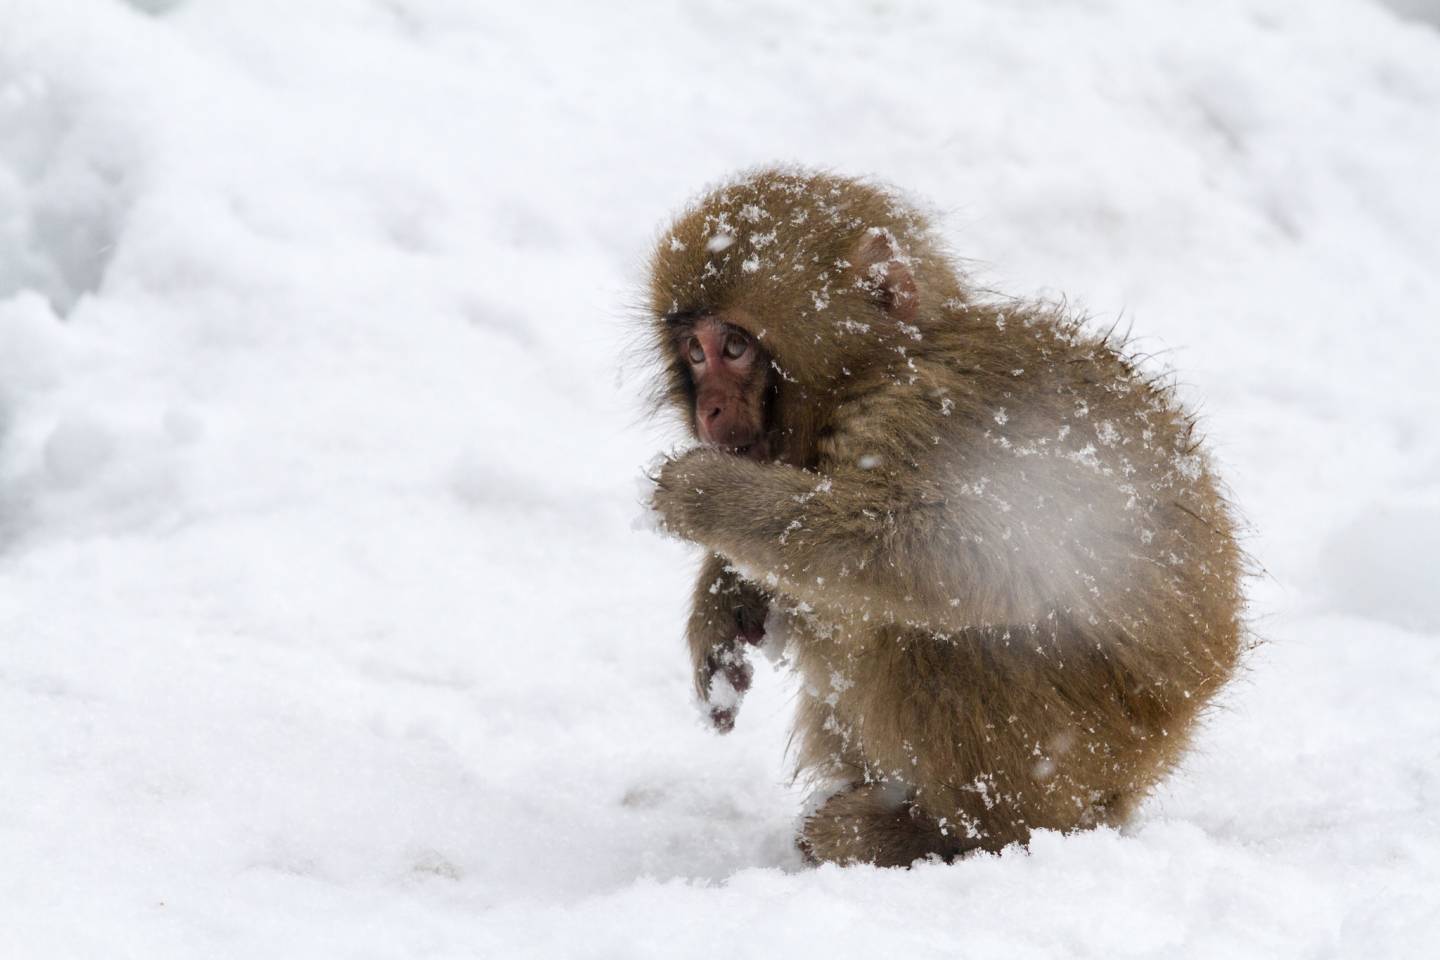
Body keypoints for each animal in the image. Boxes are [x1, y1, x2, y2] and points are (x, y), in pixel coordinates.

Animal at [648, 169, 1244, 869]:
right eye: (693, 352)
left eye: (734, 347)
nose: (708, 412)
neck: (875, 371)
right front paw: (721, 601)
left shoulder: (923, 417)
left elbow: (962, 553)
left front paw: (708, 496)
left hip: (1092, 743)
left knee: (939, 634)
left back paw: (953, 835)